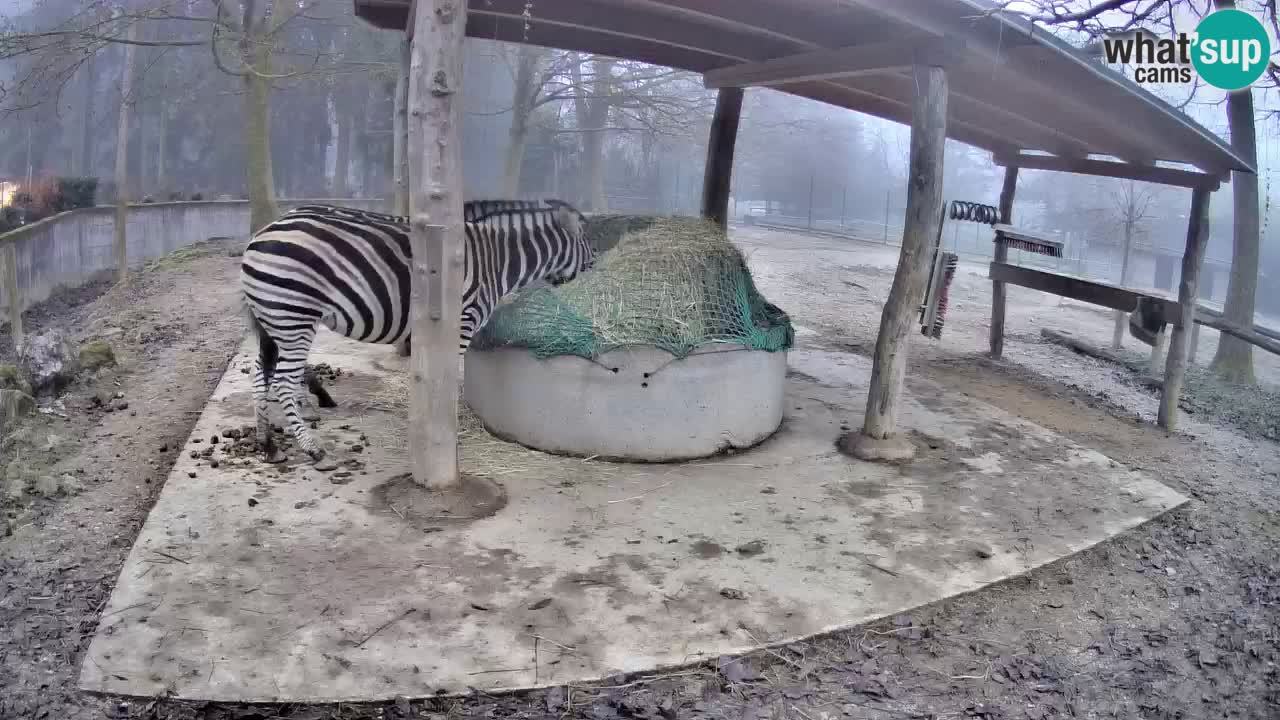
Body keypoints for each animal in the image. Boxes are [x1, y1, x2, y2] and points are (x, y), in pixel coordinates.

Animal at [240, 202, 594, 463]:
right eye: (589, 250)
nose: (593, 267)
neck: (497, 260)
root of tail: (259, 237)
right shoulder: (461, 322)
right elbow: (448, 378)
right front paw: (445, 431)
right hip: (294, 316)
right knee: (282, 381)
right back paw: (310, 447)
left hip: (273, 319)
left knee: (260, 373)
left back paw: (266, 442)